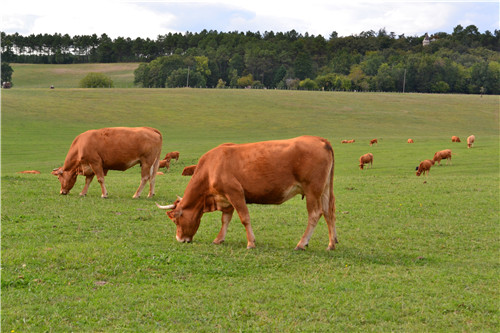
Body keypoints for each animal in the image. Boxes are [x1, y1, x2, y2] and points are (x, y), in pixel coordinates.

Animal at [156, 135, 336, 249]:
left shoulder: (235, 192)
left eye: (176, 221)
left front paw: (251, 243)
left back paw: (301, 243)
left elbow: (244, 218)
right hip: (325, 190)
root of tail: (320, 140)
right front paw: (219, 239)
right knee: (329, 212)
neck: (211, 167)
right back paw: (331, 244)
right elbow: (225, 220)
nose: (179, 239)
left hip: (312, 190)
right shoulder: (226, 198)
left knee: (315, 214)